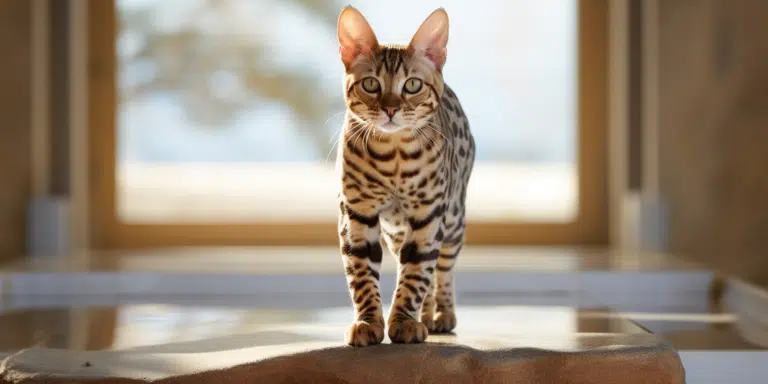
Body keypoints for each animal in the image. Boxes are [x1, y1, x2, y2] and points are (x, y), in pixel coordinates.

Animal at [336, 6, 474, 348]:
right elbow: (362, 272)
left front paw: (404, 321)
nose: (390, 109)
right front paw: (368, 322)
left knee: (442, 268)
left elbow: (417, 273)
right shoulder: (356, 213)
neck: (393, 156)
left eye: (411, 85)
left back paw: (441, 313)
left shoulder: (429, 216)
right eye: (370, 84)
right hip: (396, 231)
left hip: (453, 219)